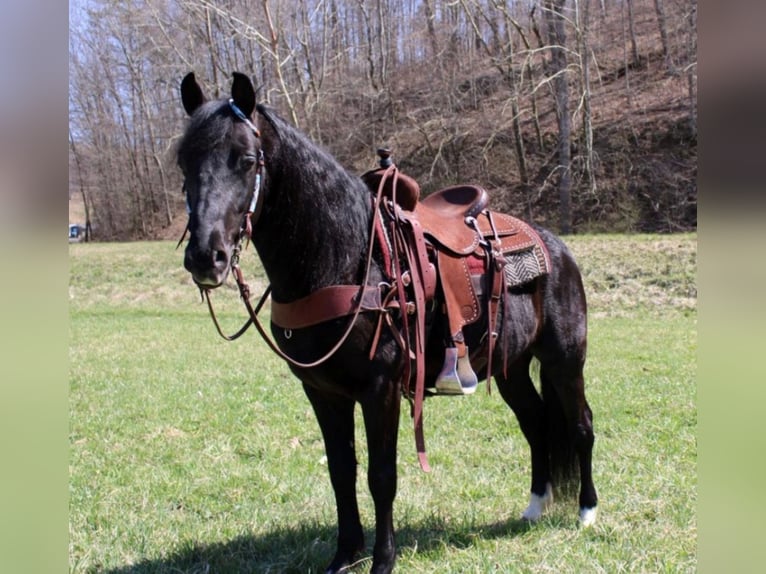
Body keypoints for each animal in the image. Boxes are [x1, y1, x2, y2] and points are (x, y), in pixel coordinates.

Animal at [178, 73, 600, 574]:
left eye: (245, 160)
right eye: (183, 162)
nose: (206, 256)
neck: (345, 256)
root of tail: (557, 246)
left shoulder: (379, 388)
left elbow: (382, 475)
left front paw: (382, 560)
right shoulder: (322, 392)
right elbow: (341, 471)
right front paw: (344, 555)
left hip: (564, 360)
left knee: (580, 425)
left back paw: (588, 512)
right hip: (511, 367)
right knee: (536, 423)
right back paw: (534, 506)